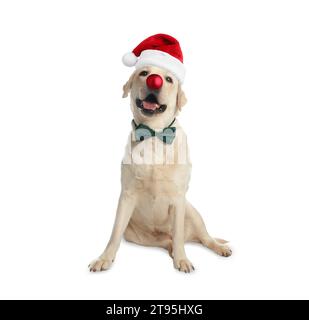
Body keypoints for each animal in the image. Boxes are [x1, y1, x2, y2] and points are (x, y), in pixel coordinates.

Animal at [88, 33, 230, 274]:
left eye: (169, 79)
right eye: (144, 73)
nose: (154, 80)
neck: (154, 134)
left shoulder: (178, 198)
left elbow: (179, 232)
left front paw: (182, 260)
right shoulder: (127, 196)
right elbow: (114, 233)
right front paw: (104, 258)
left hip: (192, 211)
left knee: (201, 237)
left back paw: (217, 248)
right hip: (138, 235)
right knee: (168, 240)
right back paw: (172, 248)